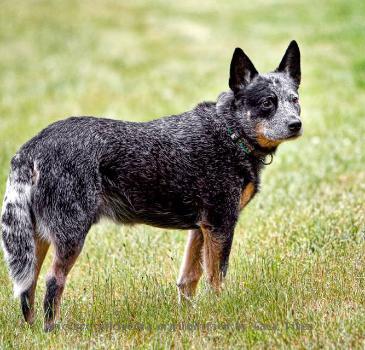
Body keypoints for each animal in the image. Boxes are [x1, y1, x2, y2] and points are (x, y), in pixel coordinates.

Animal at [0, 41, 302, 330]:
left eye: (294, 100)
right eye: (267, 102)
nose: (296, 124)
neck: (230, 132)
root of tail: (32, 146)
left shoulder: (201, 228)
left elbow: (189, 279)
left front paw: (189, 318)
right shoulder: (221, 223)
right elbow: (216, 279)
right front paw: (219, 313)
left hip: (35, 238)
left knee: (28, 285)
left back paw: (32, 329)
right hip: (70, 233)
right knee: (53, 281)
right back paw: (52, 328)